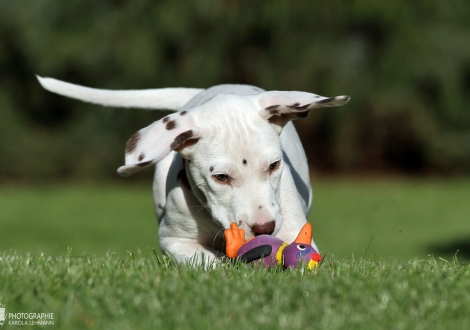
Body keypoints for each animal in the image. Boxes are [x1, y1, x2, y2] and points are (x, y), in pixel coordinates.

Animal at [37, 76, 348, 264]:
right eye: (220, 177)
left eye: (273, 165)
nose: (265, 229)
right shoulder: (174, 240)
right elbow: (205, 260)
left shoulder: (296, 231)